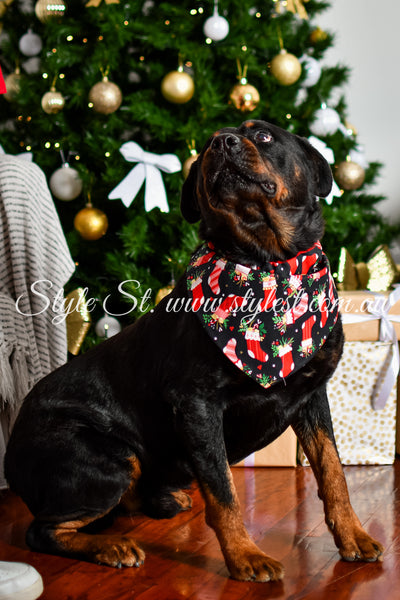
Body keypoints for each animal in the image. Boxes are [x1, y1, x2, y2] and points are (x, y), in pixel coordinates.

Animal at [3, 119, 384, 584]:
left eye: (264, 136)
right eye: (204, 149)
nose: (222, 143)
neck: (266, 264)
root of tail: (11, 455)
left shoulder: (310, 393)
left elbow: (333, 472)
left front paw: (352, 536)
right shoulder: (197, 404)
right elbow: (223, 491)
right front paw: (245, 556)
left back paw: (162, 501)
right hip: (109, 456)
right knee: (43, 530)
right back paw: (112, 545)